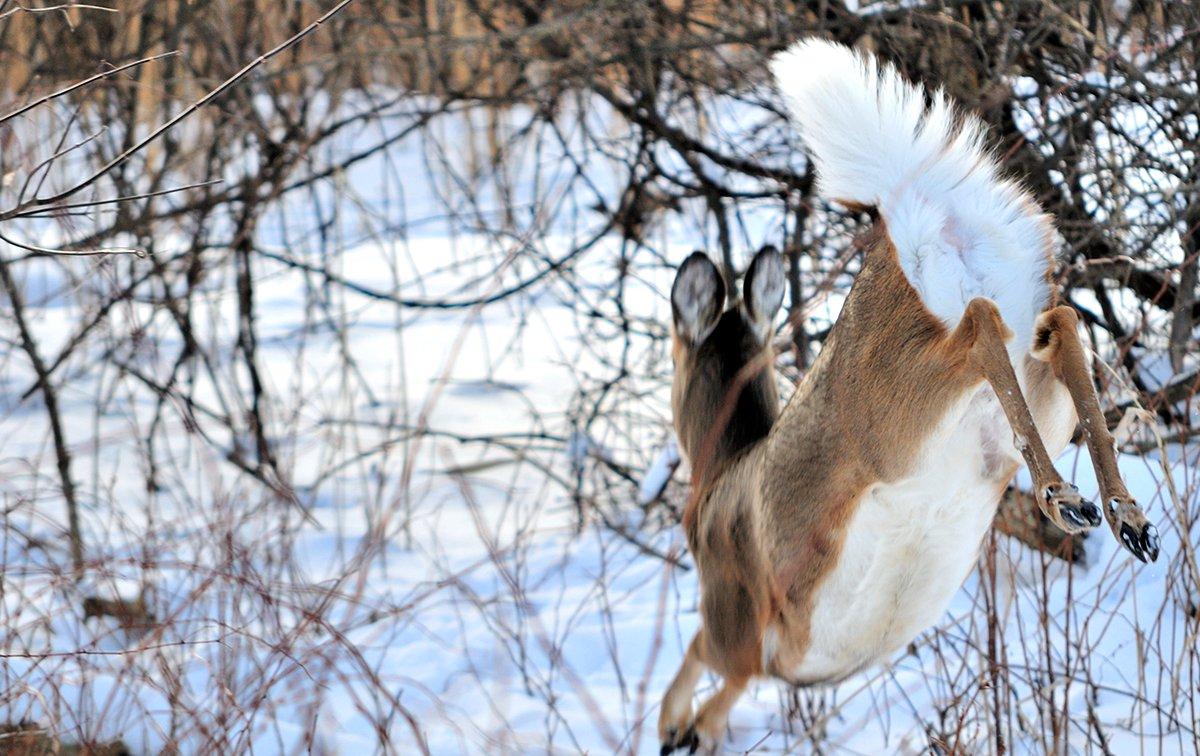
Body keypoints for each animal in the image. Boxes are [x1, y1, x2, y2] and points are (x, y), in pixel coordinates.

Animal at [662, 38, 1156, 753]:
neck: (719, 472)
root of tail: (916, 206)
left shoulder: (740, 631)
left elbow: (702, 665)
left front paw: (678, 728)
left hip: (897, 420)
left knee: (979, 327)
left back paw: (1070, 500)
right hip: (1010, 406)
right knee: (1058, 326)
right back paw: (1115, 514)